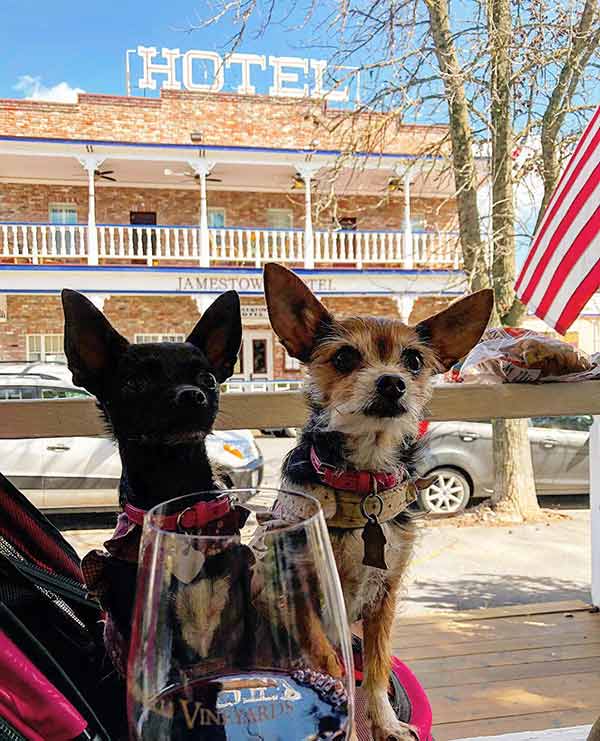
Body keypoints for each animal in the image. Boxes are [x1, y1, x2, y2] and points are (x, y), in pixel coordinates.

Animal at [262, 262, 492, 740]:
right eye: (345, 358)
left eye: (414, 360)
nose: (392, 383)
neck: (361, 481)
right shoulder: (304, 592)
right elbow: (331, 665)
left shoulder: (385, 593)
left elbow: (377, 664)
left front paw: (384, 722)